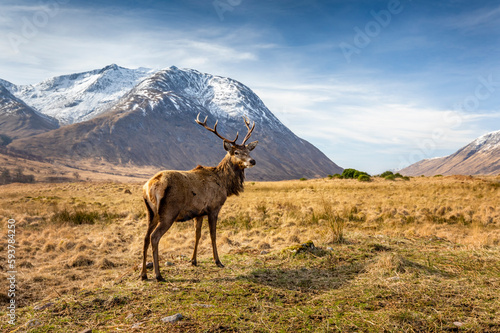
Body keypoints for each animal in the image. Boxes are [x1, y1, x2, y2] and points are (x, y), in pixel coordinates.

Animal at [141, 113, 258, 282]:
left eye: (248, 150)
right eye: (236, 152)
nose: (252, 160)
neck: (225, 183)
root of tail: (150, 186)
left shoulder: (199, 212)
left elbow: (197, 235)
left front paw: (193, 260)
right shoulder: (214, 207)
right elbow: (213, 235)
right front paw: (218, 261)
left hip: (151, 213)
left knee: (144, 237)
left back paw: (143, 274)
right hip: (169, 212)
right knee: (154, 237)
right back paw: (158, 274)